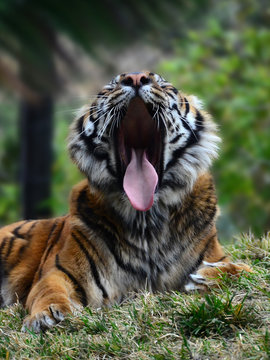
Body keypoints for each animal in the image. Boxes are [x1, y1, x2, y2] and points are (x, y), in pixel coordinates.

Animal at [0, 71, 251, 332]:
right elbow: (50, 291)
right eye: (112, 85)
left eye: (161, 82)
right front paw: (47, 316)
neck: (147, 219)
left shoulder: (217, 254)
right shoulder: (59, 272)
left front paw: (208, 276)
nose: (136, 77)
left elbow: (246, 269)